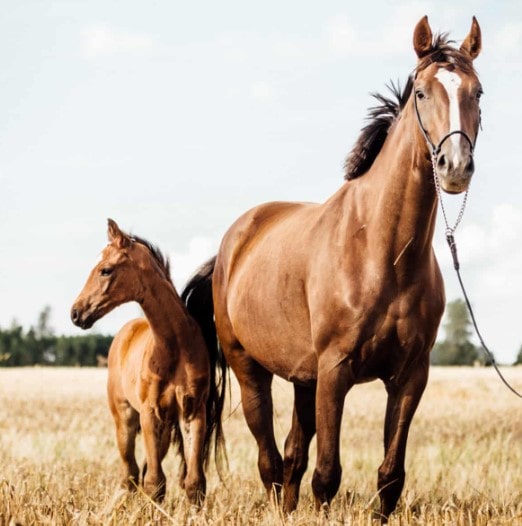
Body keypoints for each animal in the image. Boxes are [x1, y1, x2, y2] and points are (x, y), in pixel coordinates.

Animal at [70, 221, 224, 506]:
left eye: (105, 270)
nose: (76, 313)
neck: (173, 347)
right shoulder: (150, 413)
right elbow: (155, 483)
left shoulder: (192, 412)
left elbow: (194, 482)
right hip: (125, 419)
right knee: (129, 473)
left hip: (162, 429)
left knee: (139, 471)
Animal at [182, 16, 480, 524]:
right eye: (422, 92)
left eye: (477, 92)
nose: (455, 166)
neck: (382, 252)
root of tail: (228, 249)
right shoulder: (336, 370)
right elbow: (327, 476)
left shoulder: (410, 376)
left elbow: (389, 477)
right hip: (250, 369)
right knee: (270, 460)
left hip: (305, 379)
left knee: (291, 455)